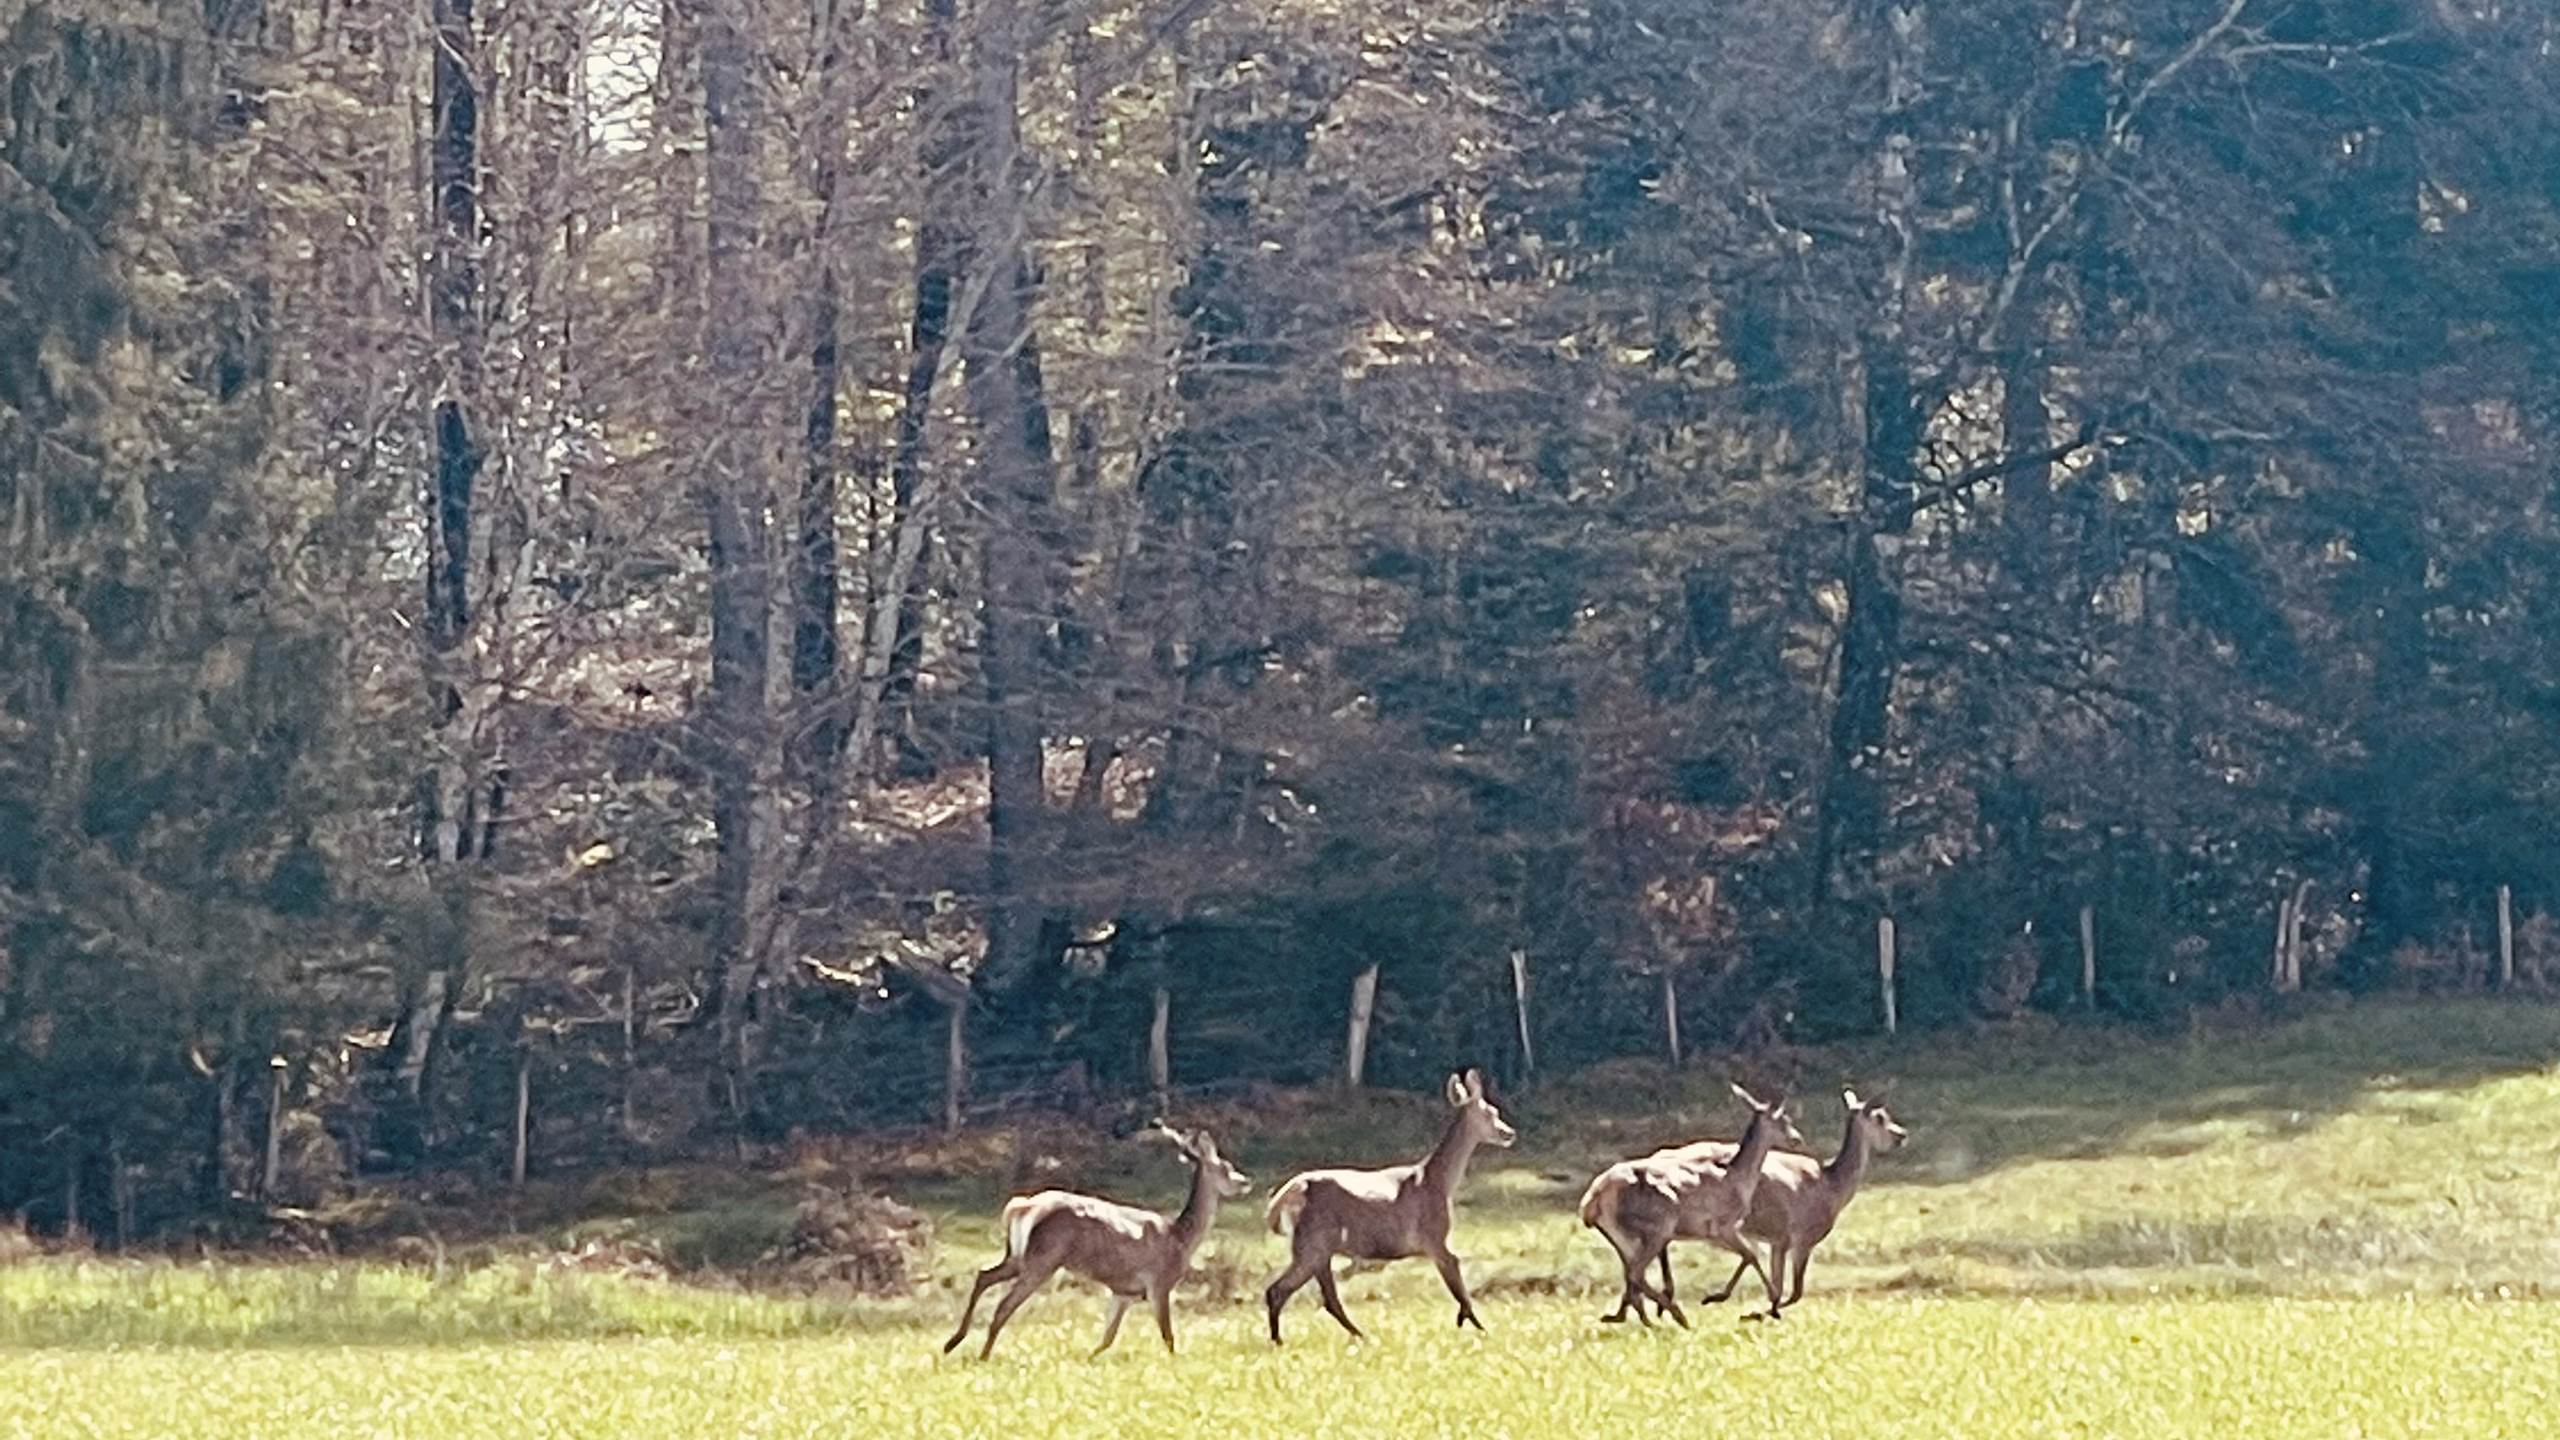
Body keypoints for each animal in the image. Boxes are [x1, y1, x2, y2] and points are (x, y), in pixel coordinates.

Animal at [947, 1122, 1254, 1352]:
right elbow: (1168, 1337)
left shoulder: (1124, 1292)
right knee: (1002, 1306)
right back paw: (980, 1355)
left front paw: (1088, 1361)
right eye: (1226, 1167)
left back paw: (953, 1342)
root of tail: (1022, 1207)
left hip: (1019, 1255)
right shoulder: (1159, 1283)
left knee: (984, 1276)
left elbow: (1106, 1339)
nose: (1246, 1181)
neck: (1181, 1238)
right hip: (1042, 1260)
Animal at [1264, 1060, 1515, 1342]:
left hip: (1315, 1247)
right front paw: (1480, 1328)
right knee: (1288, 1291)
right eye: (1491, 1112)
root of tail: (1287, 1195)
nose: (1509, 1133)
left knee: (1305, 1294)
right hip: (1314, 1241)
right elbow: (1459, 1287)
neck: (1438, 1182)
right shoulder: (1434, 1238)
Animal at [1576, 1076, 1802, 1322]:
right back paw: (1675, 1314)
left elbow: (1749, 1255)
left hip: (1621, 1236)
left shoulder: (1712, 1233)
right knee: (1636, 1272)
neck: (1737, 1178)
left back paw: (1629, 1315)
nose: (1797, 1139)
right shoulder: (1721, 1226)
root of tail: (1591, 1201)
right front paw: (1765, 1300)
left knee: (1631, 1274)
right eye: (1783, 1119)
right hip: (1658, 1227)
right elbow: (1751, 1255)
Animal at [1658, 1086, 1904, 1311]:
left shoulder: (1777, 1240)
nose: (1902, 1135)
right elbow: (1794, 1293)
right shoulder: (1800, 1238)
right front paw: (1760, 1310)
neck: (1832, 1188)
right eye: (1880, 1117)